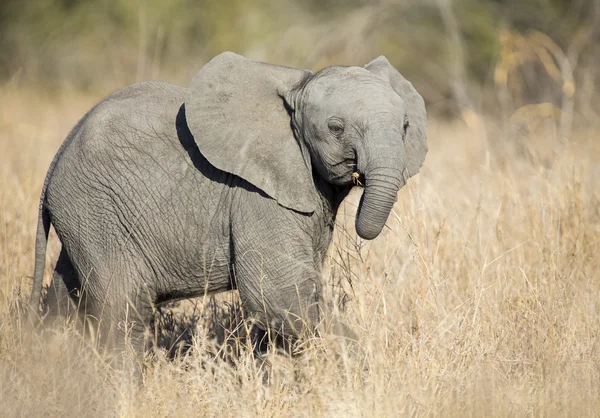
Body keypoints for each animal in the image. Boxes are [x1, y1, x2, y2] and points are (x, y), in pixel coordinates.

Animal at [29, 51, 426, 360]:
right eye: (336, 128)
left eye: (405, 126)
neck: (297, 88)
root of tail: (58, 157)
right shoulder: (255, 195)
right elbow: (277, 294)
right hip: (95, 207)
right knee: (124, 306)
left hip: (84, 215)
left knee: (67, 298)